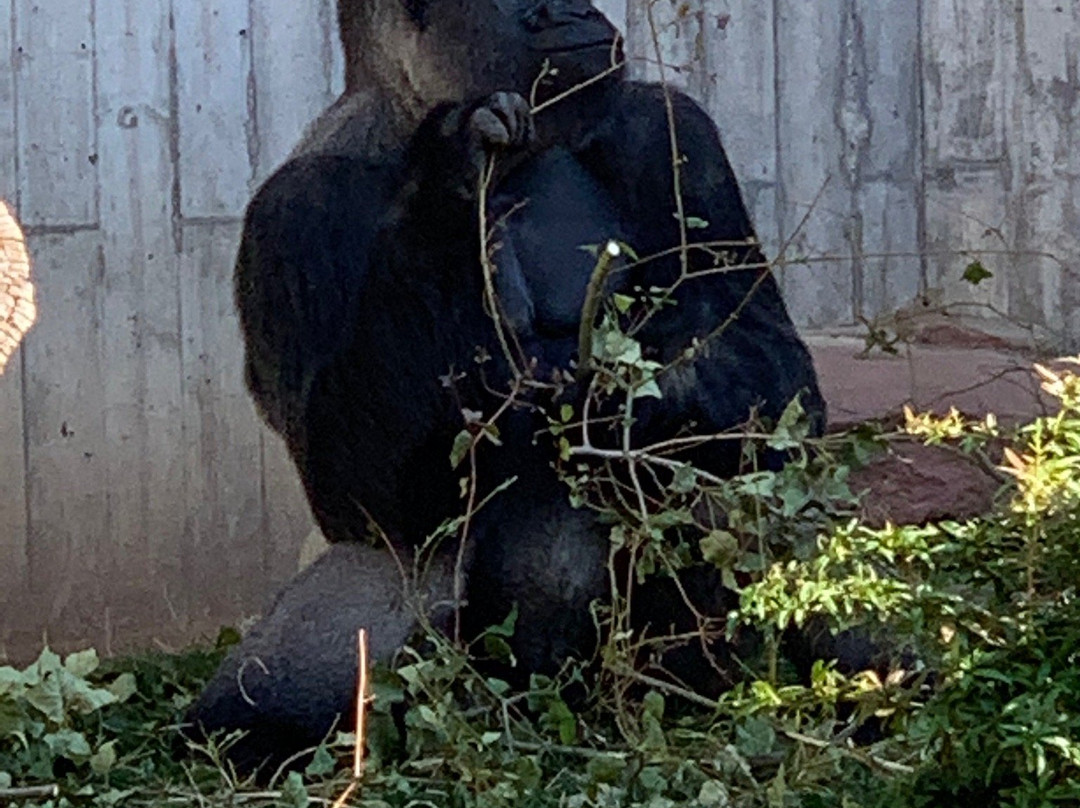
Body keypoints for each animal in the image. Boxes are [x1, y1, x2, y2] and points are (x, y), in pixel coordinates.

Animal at [192, 0, 825, 777]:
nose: (578, 11)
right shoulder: (296, 213)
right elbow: (360, 491)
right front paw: (451, 182)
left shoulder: (671, 130)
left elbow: (770, 371)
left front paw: (637, 393)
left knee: (718, 474)